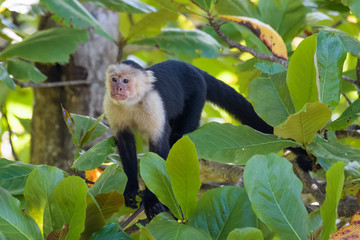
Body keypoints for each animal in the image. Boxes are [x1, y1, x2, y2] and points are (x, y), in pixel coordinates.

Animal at [103, 59, 272, 218]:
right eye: (114, 79)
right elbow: (125, 143)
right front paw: (131, 188)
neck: (132, 103)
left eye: (125, 81)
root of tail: (191, 67)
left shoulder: (153, 104)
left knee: (179, 137)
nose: (117, 88)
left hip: (197, 91)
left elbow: (158, 151)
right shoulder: (111, 105)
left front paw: (151, 200)